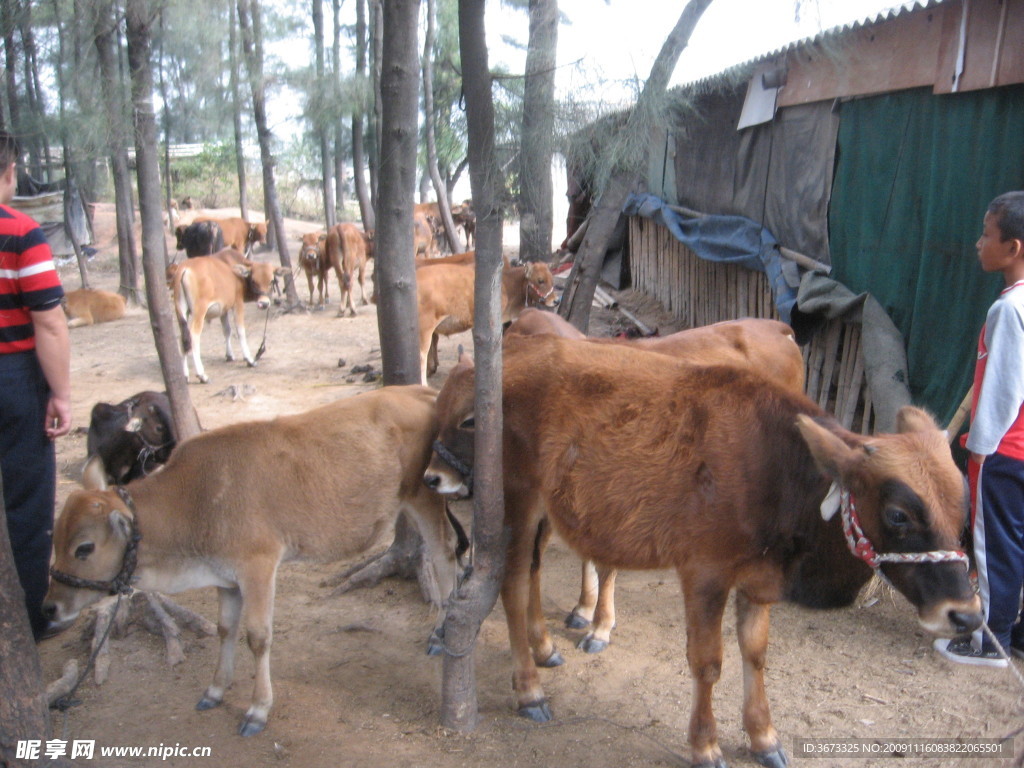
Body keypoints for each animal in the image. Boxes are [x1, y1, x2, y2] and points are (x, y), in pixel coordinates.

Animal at [45, 387, 460, 741]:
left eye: (84, 548)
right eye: (56, 538)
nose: (51, 607)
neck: (196, 497)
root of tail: (420, 392)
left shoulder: (258, 567)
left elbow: (258, 637)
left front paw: (258, 710)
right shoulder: (226, 578)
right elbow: (226, 629)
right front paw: (215, 689)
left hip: (425, 498)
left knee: (445, 558)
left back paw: (440, 633)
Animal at [425, 335, 983, 768]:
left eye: (963, 506)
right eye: (898, 514)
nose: (966, 615)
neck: (777, 469)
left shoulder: (758, 580)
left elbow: (755, 654)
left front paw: (764, 737)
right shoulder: (705, 572)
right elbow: (708, 661)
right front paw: (706, 745)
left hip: (544, 511)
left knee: (534, 575)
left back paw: (544, 650)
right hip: (515, 503)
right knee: (514, 585)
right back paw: (528, 689)